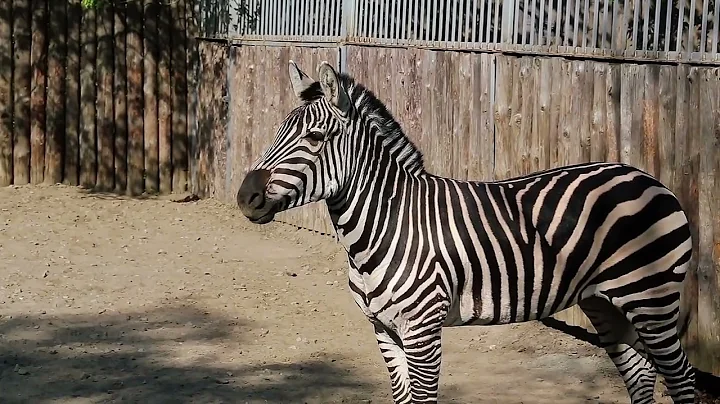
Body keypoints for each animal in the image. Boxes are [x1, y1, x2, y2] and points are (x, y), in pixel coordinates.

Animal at [236, 60, 696, 403]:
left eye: (315, 137)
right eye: (278, 130)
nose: (245, 197)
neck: (382, 227)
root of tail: (647, 177)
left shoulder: (422, 329)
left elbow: (424, 399)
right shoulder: (384, 330)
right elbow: (402, 398)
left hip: (652, 299)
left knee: (682, 376)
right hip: (604, 302)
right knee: (641, 375)